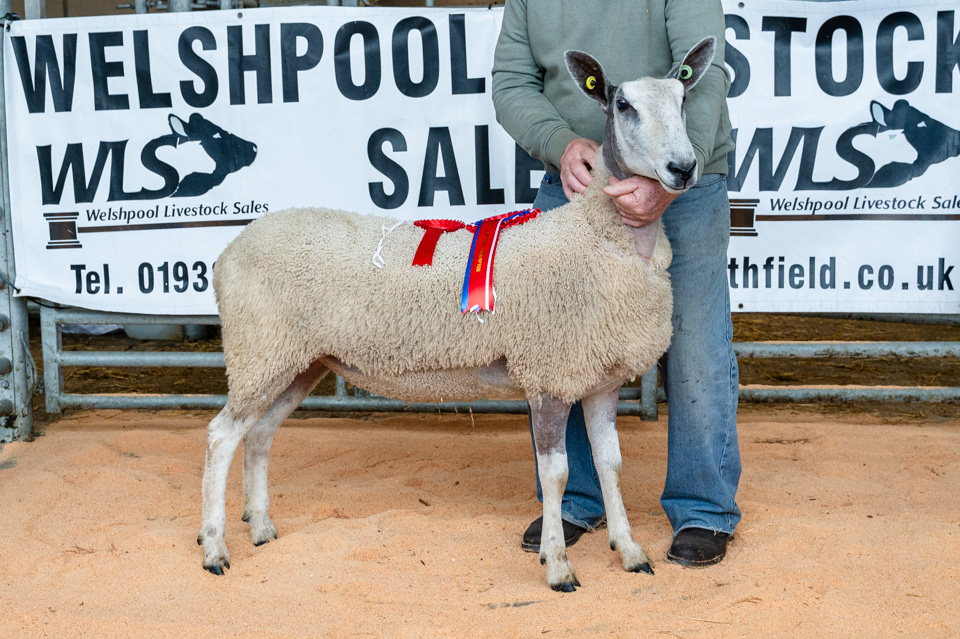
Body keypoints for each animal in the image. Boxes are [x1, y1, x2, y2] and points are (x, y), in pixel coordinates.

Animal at [197, 36, 720, 596]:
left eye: (683, 100)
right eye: (624, 106)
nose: (683, 168)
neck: (601, 237)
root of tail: (229, 251)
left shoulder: (598, 377)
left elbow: (610, 465)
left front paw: (629, 551)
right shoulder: (549, 376)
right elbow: (555, 474)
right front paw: (557, 565)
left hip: (298, 360)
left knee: (259, 435)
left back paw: (261, 527)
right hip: (260, 349)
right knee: (222, 437)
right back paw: (215, 548)